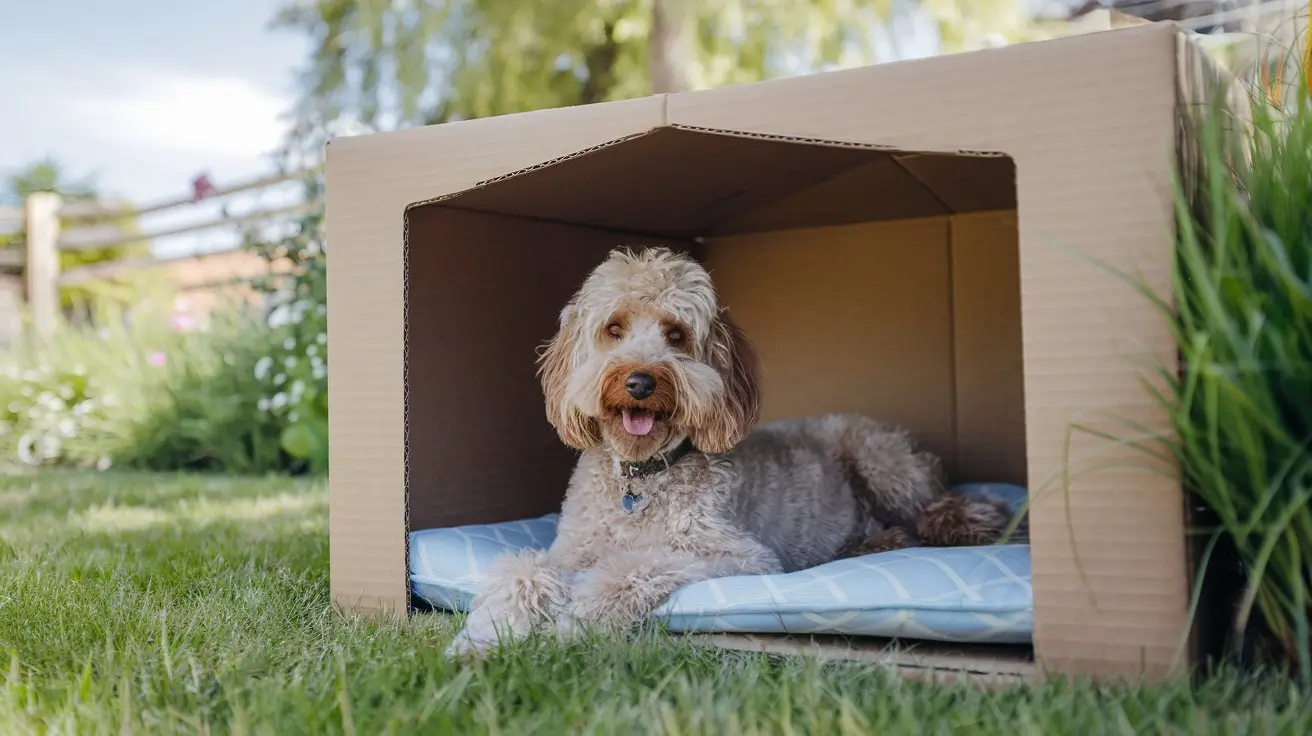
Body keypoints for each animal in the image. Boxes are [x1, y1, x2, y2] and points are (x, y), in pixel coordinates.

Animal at [448, 244, 1012, 655]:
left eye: (676, 334)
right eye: (614, 328)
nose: (639, 382)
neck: (642, 476)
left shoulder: (733, 554)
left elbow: (632, 565)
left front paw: (578, 621)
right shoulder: (570, 551)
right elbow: (525, 569)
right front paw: (488, 632)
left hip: (881, 460)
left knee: (940, 508)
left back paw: (971, 523)